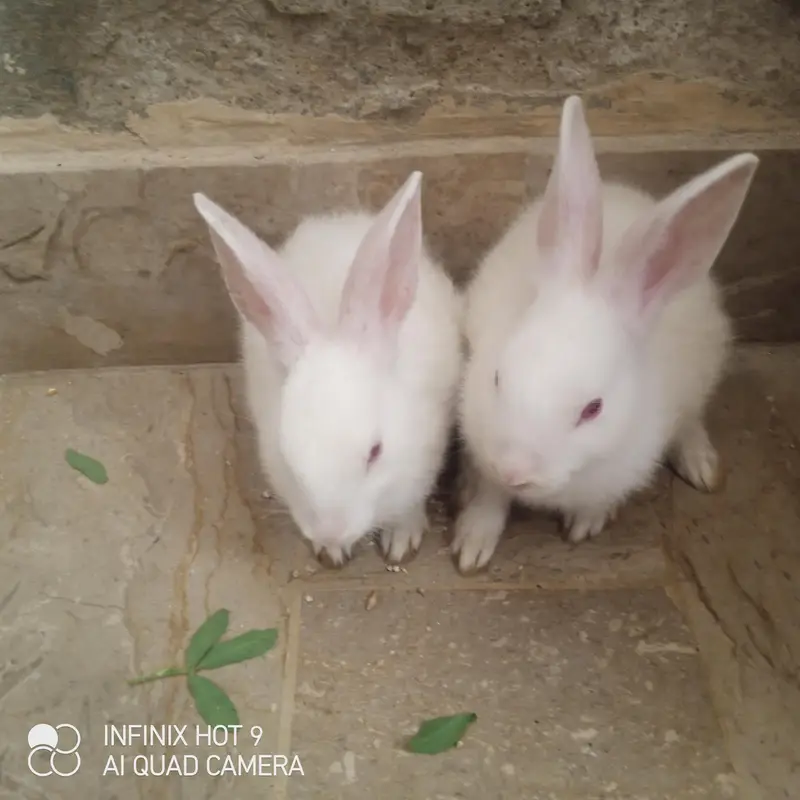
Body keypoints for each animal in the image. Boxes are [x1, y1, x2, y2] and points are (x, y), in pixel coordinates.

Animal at [452, 94, 759, 575]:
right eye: (498, 378)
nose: (515, 469)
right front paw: (472, 545)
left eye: (593, 409)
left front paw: (585, 524)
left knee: (691, 420)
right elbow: (489, 497)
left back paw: (701, 465)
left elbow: (596, 500)